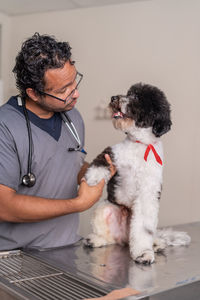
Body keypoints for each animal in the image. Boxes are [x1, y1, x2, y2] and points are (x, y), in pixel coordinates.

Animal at [84, 83, 191, 264]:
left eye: (136, 97)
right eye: (128, 93)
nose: (114, 98)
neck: (141, 144)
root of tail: (125, 239)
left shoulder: (147, 195)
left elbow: (143, 228)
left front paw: (143, 253)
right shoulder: (114, 153)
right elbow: (102, 159)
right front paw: (93, 176)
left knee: (150, 234)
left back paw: (156, 243)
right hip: (105, 208)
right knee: (109, 238)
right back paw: (96, 239)